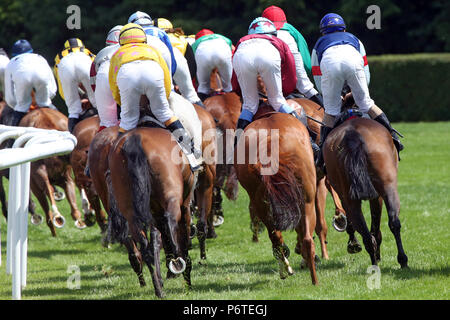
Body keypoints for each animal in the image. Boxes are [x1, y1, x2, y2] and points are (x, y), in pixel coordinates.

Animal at [236, 104, 320, 284]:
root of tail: (270, 142)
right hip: (307, 199)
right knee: (307, 238)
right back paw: (314, 279)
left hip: (259, 200)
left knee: (276, 236)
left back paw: (286, 269)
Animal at [322, 105, 410, 268]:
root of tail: (353, 136)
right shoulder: (377, 196)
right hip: (387, 188)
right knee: (392, 222)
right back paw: (401, 261)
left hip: (354, 197)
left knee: (370, 231)